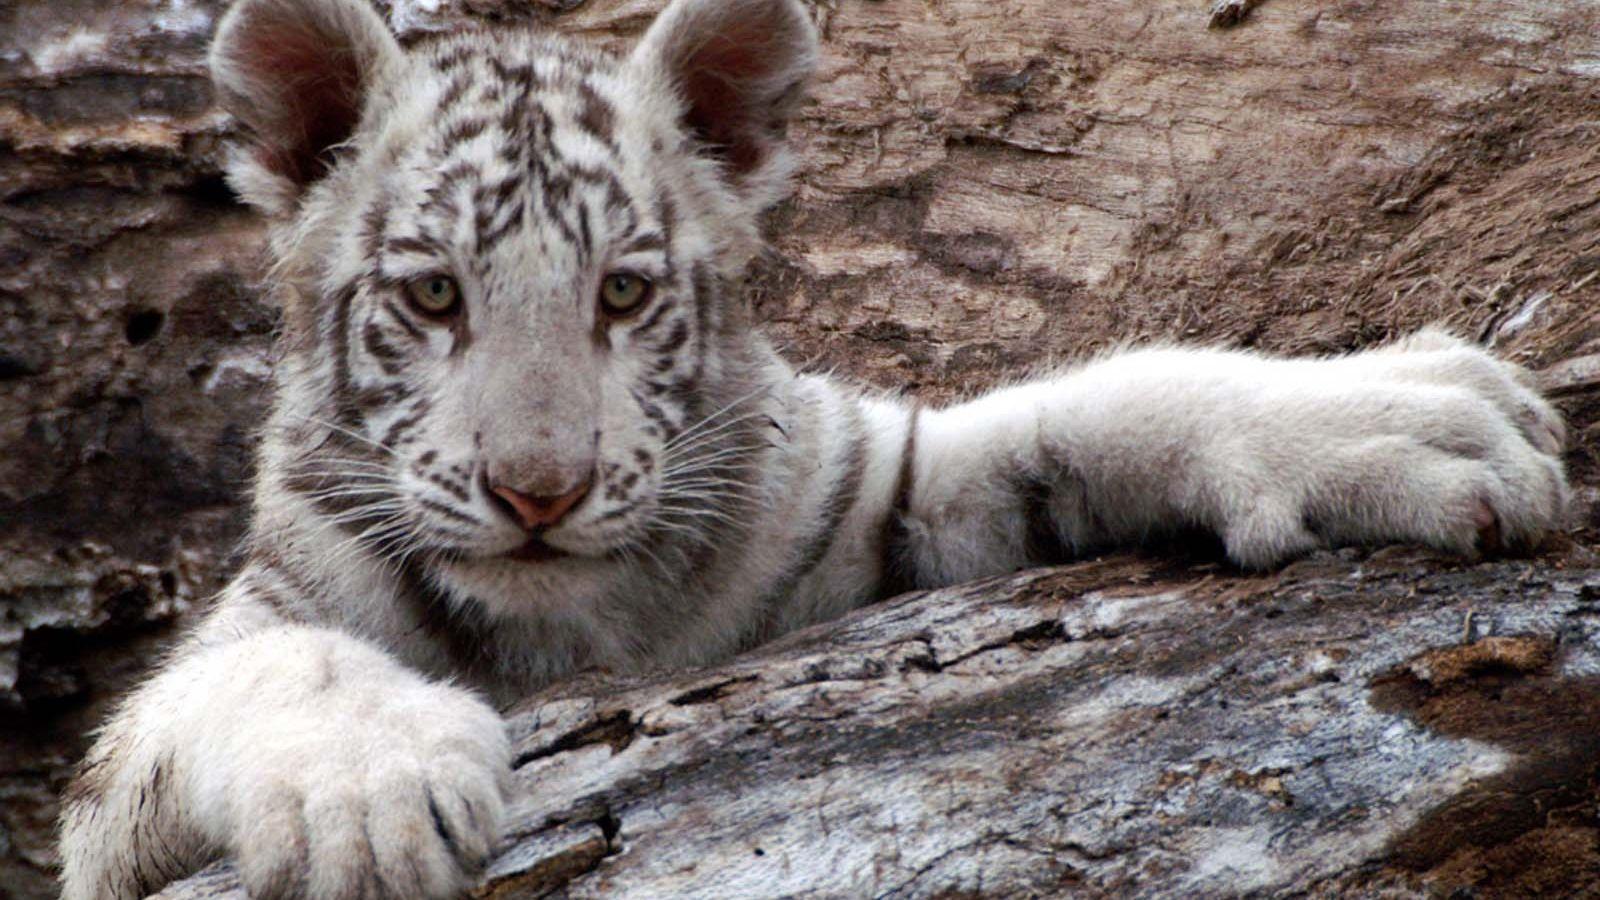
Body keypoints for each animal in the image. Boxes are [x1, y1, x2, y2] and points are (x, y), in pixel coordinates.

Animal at [57, 0, 1570, 896]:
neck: (564, 628)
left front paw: (1408, 415)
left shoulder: (863, 498)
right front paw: (374, 795)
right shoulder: (117, 810)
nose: (539, 493)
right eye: (434, 296)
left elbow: (1097, 403)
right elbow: (265, 668)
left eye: (623, 292)